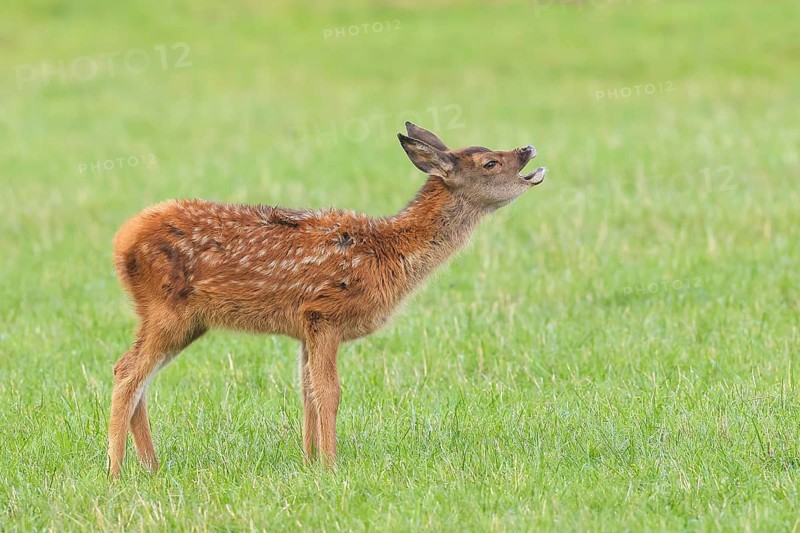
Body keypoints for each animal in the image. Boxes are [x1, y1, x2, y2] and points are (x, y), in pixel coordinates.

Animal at [108, 122, 546, 478]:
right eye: (490, 162)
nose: (528, 149)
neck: (389, 253)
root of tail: (121, 242)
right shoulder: (326, 314)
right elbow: (330, 393)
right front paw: (332, 466)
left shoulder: (305, 327)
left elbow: (308, 394)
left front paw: (310, 462)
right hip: (169, 310)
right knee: (127, 371)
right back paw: (116, 471)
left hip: (184, 319)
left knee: (138, 375)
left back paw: (151, 466)